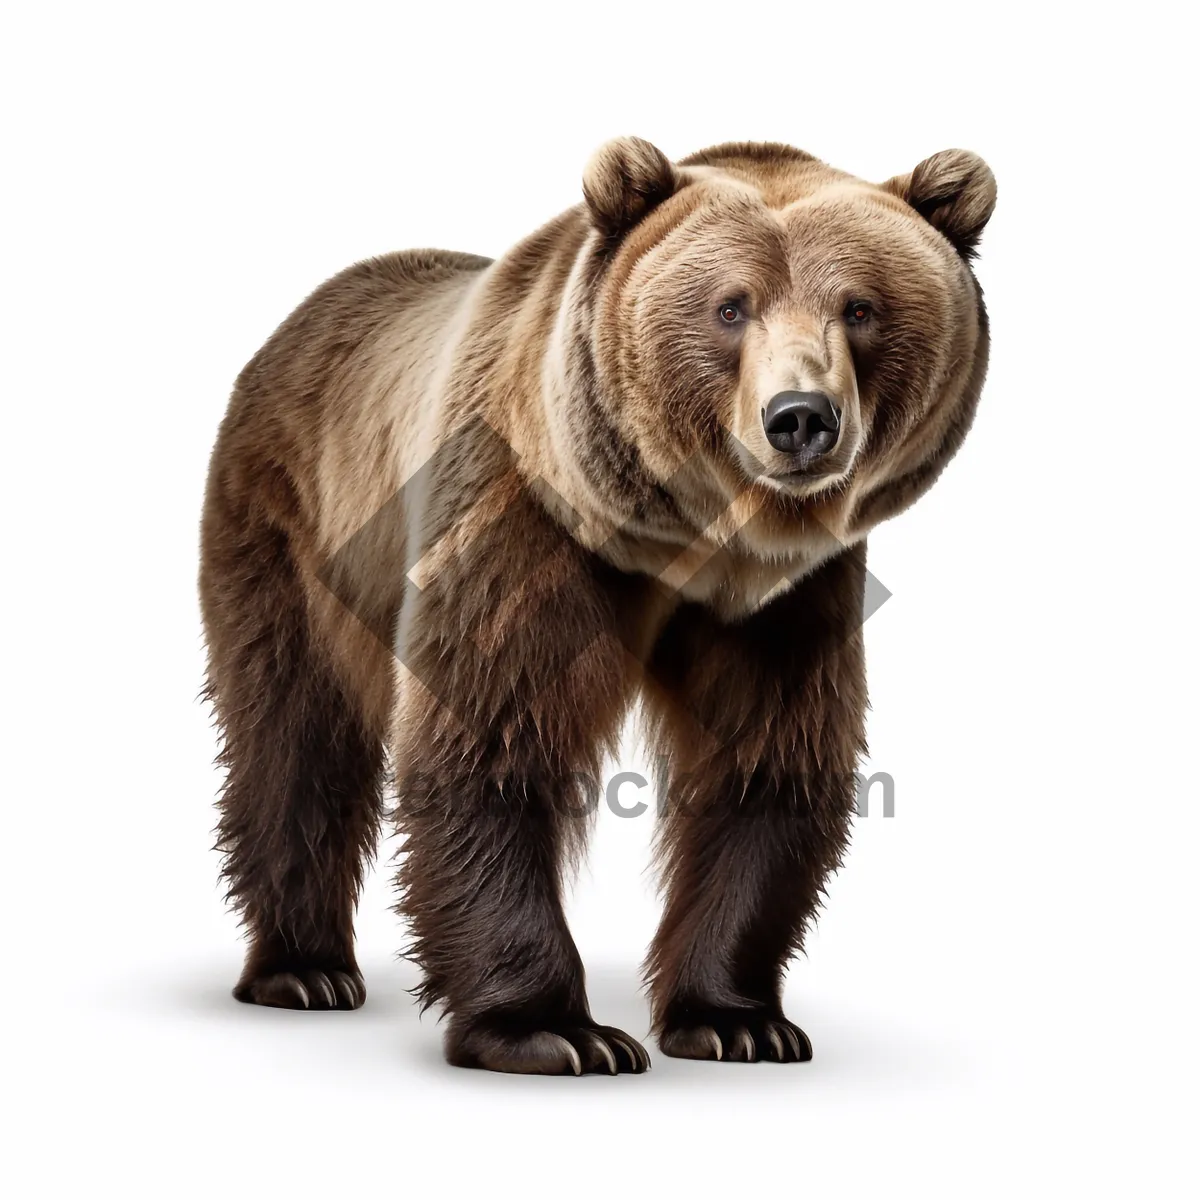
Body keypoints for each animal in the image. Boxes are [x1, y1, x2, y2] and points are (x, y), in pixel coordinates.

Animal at [201, 136, 998, 1075]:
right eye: (731, 307)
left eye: (861, 307)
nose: (801, 417)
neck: (689, 539)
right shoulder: (521, 520)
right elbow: (495, 734)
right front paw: (555, 1029)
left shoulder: (789, 600)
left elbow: (768, 759)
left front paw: (737, 1019)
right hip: (292, 529)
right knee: (293, 731)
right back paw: (304, 970)